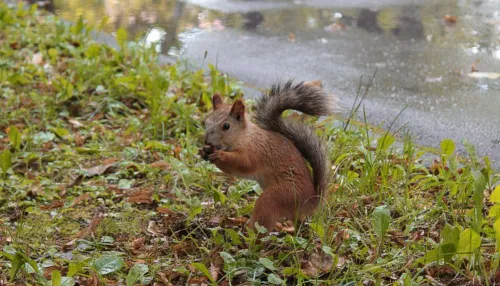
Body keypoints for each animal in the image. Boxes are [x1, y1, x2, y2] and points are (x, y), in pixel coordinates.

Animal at [198, 80, 336, 232]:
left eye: (226, 126)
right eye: (206, 121)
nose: (208, 142)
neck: (245, 137)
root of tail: (311, 201)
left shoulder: (255, 151)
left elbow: (242, 164)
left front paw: (220, 155)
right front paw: (203, 151)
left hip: (278, 197)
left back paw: (248, 233)